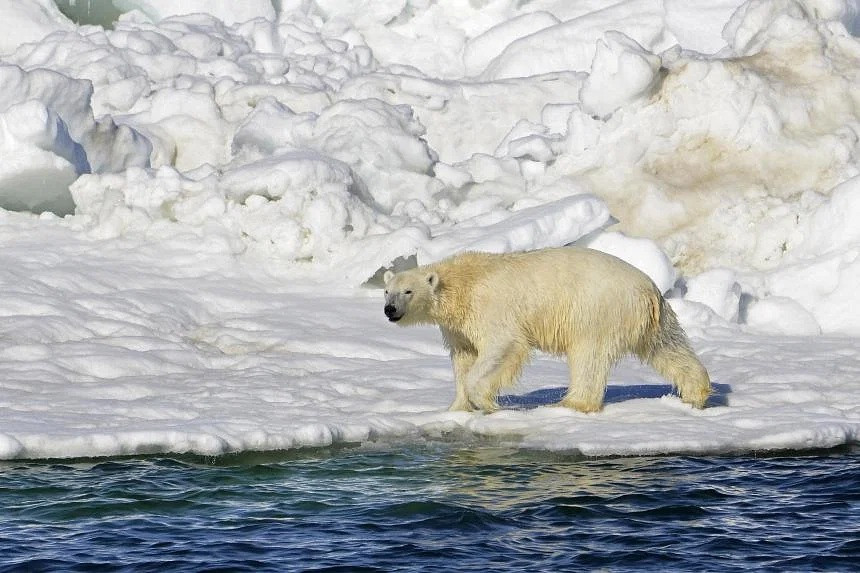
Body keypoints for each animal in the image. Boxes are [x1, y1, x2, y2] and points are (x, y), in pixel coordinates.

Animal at [384, 246, 712, 412]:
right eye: (387, 291)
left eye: (408, 291)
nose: (390, 310)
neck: (462, 283)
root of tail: (648, 289)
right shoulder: (458, 326)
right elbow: (464, 357)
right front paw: (457, 407)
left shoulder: (490, 308)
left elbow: (502, 346)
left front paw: (485, 402)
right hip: (652, 318)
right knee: (667, 347)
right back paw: (696, 393)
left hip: (597, 310)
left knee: (588, 356)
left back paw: (572, 403)